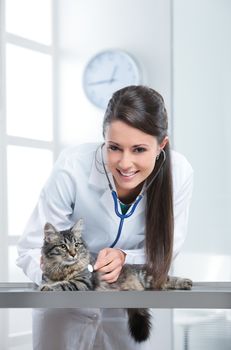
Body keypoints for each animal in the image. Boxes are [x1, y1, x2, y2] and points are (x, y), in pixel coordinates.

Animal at [40, 219, 192, 342]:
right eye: (63, 246)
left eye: (77, 245)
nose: (73, 254)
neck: (63, 269)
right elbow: (51, 282)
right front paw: (48, 285)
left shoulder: (82, 282)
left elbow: (63, 284)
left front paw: (49, 287)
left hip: (147, 276)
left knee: (166, 280)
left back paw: (186, 282)